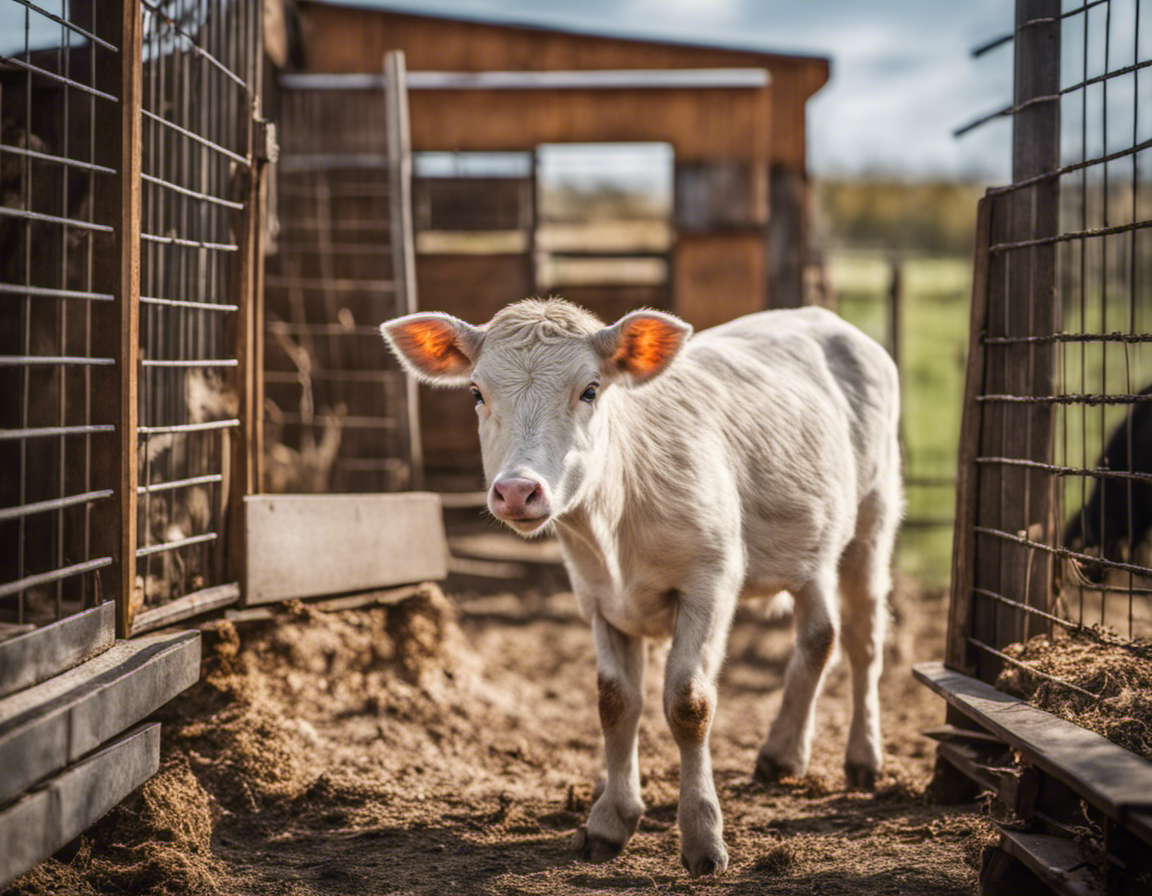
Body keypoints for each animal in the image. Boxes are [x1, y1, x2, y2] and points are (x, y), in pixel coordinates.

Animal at [382, 299, 903, 870]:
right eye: (477, 392)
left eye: (590, 389)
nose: (517, 490)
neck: (616, 518)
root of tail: (821, 316)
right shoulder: (597, 598)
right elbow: (615, 702)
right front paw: (611, 820)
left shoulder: (711, 581)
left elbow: (689, 703)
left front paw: (703, 837)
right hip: (813, 548)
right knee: (818, 636)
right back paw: (783, 753)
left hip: (875, 515)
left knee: (863, 639)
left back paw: (864, 757)